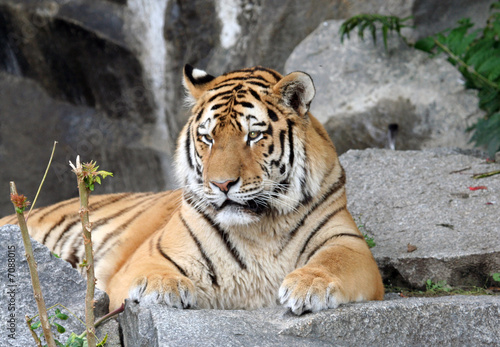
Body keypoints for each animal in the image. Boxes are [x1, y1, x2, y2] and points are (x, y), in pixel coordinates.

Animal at [0, 64, 382, 316]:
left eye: (253, 135)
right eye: (208, 138)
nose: (222, 184)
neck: (260, 226)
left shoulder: (349, 243)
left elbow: (332, 260)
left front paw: (309, 286)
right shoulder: (151, 254)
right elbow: (150, 270)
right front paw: (161, 287)